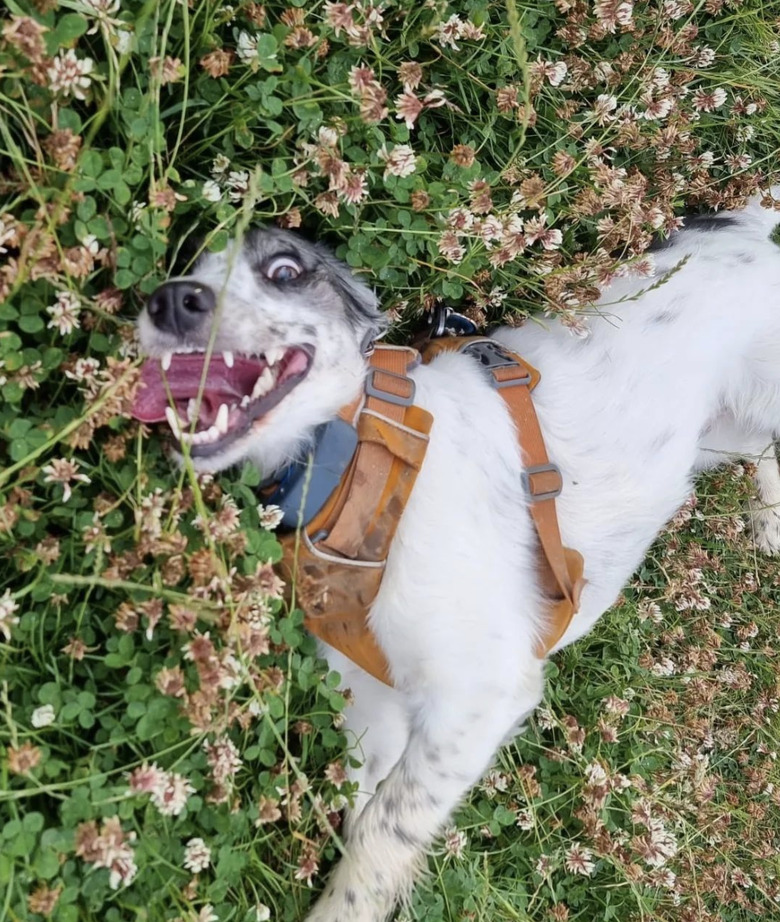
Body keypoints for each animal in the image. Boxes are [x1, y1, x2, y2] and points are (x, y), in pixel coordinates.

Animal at [133, 199, 780, 920]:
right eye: (191, 265)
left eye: (284, 271)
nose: (171, 300)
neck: (366, 465)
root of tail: (749, 225)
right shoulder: (372, 693)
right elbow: (365, 805)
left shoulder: (478, 697)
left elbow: (382, 833)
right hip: (714, 437)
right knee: (760, 452)